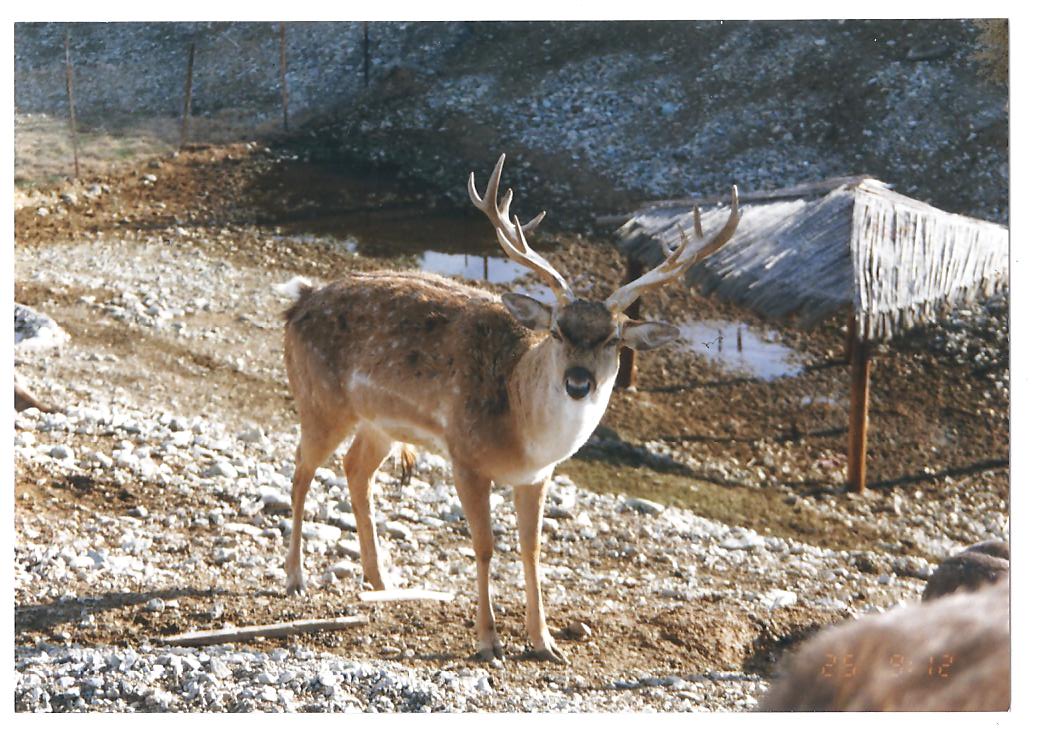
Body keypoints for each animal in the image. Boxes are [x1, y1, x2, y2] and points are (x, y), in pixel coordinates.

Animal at [279, 154, 740, 663]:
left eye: (614, 340)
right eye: (557, 331)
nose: (578, 382)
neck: (522, 432)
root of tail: (297, 302)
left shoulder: (538, 476)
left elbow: (532, 549)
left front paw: (545, 641)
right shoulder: (464, 456)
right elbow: (484, 546)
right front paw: (488, 639)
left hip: (378, 422)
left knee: (355, 468)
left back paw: (381, 580)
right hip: (320, 399)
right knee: (301, 469)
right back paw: (296, 577)